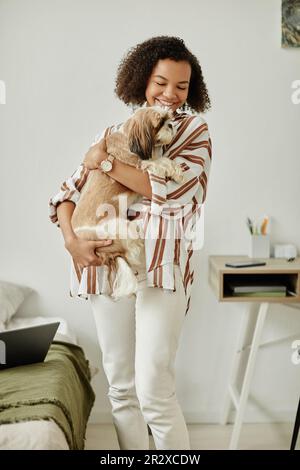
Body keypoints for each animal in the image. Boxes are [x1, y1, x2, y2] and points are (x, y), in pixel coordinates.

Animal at [71, 106, 184, 298]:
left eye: (168, 117)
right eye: (160, 122)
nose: (170, 125)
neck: (128, 137)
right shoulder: (141, 165)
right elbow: (160, 161)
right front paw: (175, 171)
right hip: (121, 229)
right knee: (132, 250)